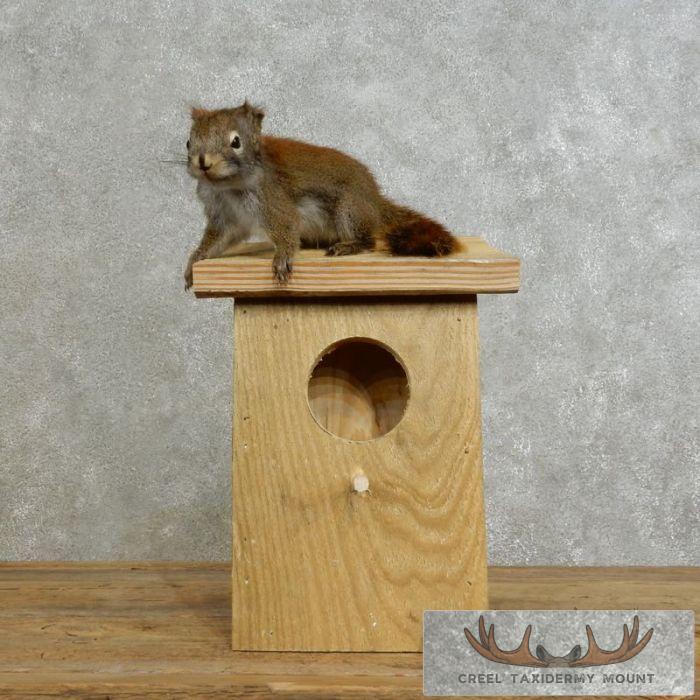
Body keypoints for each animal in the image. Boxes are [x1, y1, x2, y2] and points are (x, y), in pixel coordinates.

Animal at [184, 102, 457, 288]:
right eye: (188, 142)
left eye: (236, 142)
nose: (203, 162)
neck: (228, 187)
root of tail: (375, 200)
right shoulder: (225, 217)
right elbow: (219, 239)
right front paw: (194, 262)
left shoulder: (273, 200)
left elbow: (287, 226)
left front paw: (282, 256)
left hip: (350, 210)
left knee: (369, 240)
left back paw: (349, 245)